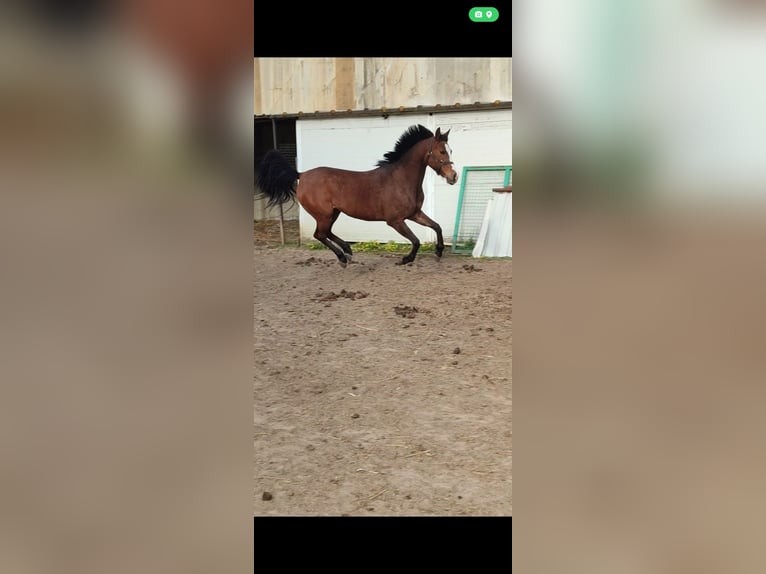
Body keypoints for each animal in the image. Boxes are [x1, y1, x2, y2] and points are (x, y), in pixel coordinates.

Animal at [257, 124, 458, 266]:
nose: (454, 177)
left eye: (451, 151)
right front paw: (405, 259)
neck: (401, 179)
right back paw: (342, 258)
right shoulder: (395, 221)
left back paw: (348, 251)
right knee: (319, 234)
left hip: (333, 213)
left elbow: (437, 227)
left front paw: (439, 252)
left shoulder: (414, 214)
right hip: (324, 215)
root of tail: (301, 174)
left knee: (326, 233)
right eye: (442, 151)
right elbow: (416, 241)